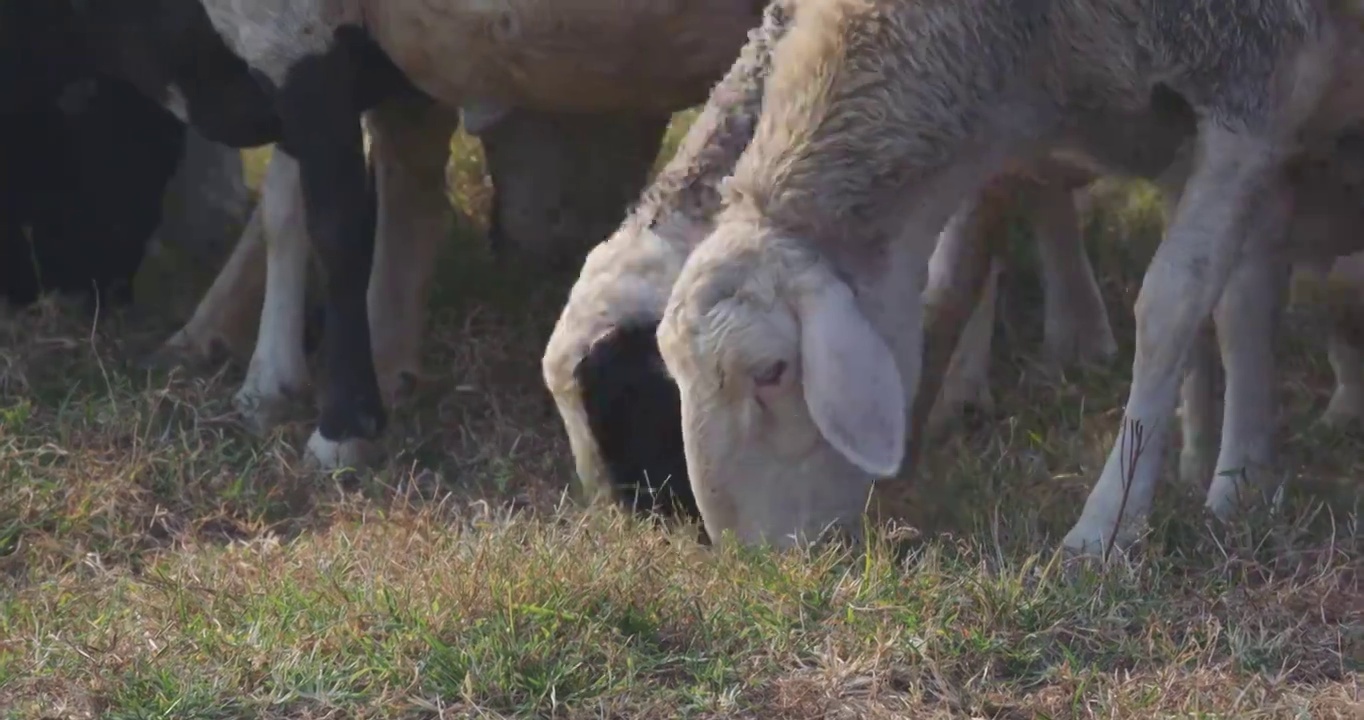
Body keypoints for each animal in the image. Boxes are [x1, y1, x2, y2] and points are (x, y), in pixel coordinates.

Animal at [651, 0, 1364, 553]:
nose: (753, 561)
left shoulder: (1261, 81)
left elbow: (1176, 305)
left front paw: (1113, 526)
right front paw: (1220, 472)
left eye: (772, 371)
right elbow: (1236, 300)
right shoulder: (1176, 128)